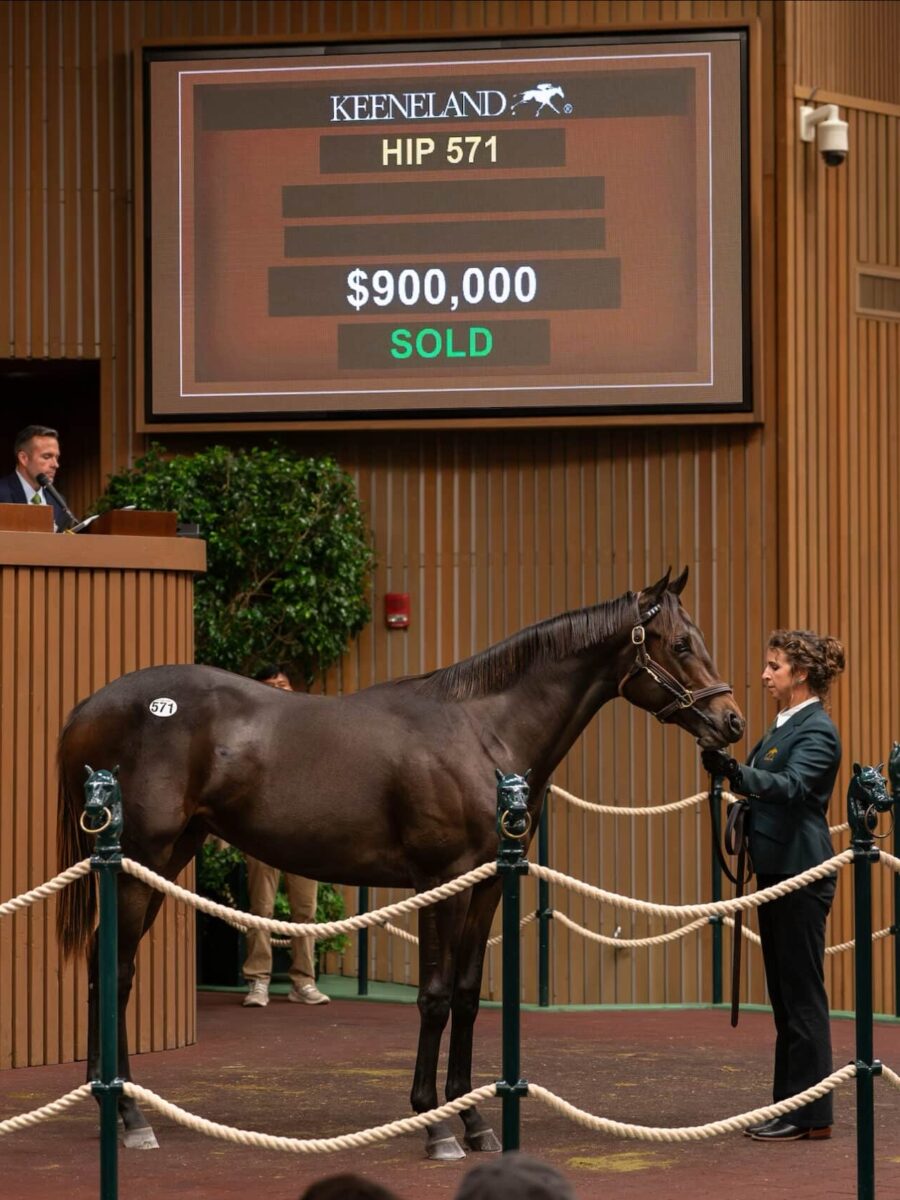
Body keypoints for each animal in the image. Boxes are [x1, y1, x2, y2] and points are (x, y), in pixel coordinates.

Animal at [58, 571, 748, 1161]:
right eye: (681, 644)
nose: (732, 722)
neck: (482, 732)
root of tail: (89, 705)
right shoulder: (439, 882)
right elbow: (435, 997)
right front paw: (434, 1125)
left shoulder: (485, 885)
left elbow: (467, 995)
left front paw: (474, 1120)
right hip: (142, 858)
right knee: (115, 968)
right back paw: (128, 1115)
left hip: (165, 858)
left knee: (106, 965)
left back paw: (112, 1101)